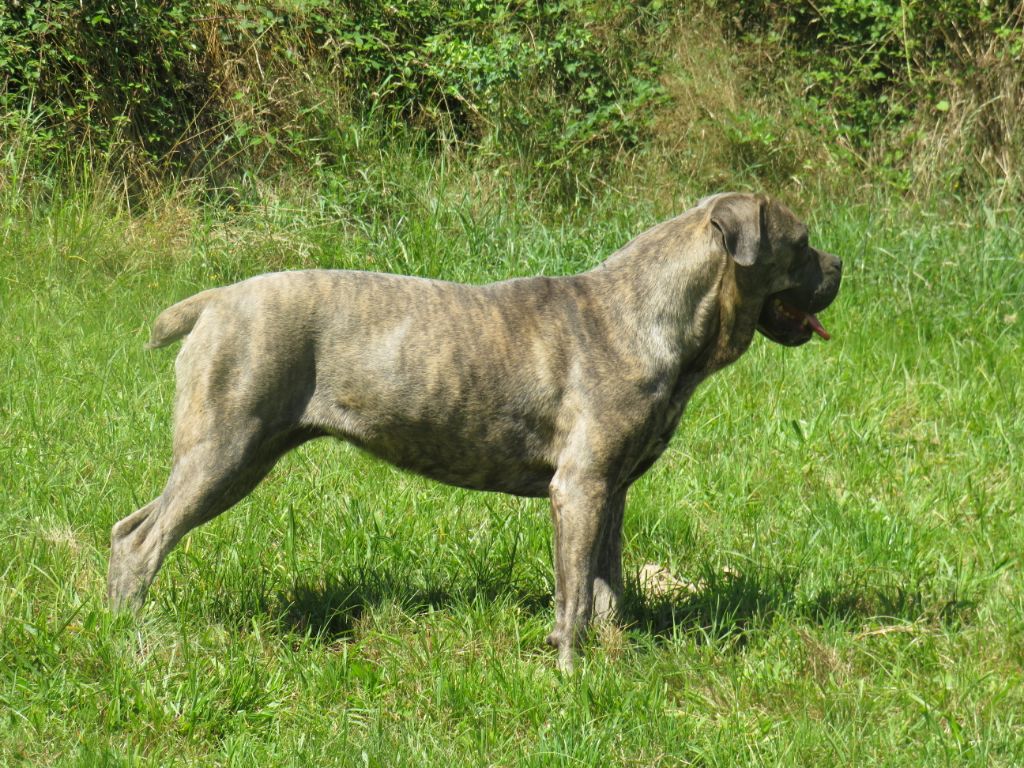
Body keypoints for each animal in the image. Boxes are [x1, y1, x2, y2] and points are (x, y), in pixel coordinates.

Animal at [108, 193, 839, 671]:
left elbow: (607, 588)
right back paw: (134, 640)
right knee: (145, 542)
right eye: (802, 244)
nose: (838, 268)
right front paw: (570, 672)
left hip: (238, 453)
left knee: (127, 528)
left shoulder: (611, 488)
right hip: (227, 449)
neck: (651, 315)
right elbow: (575, 593)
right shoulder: (579, 487)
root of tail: (215, 300)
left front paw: (618, 660)